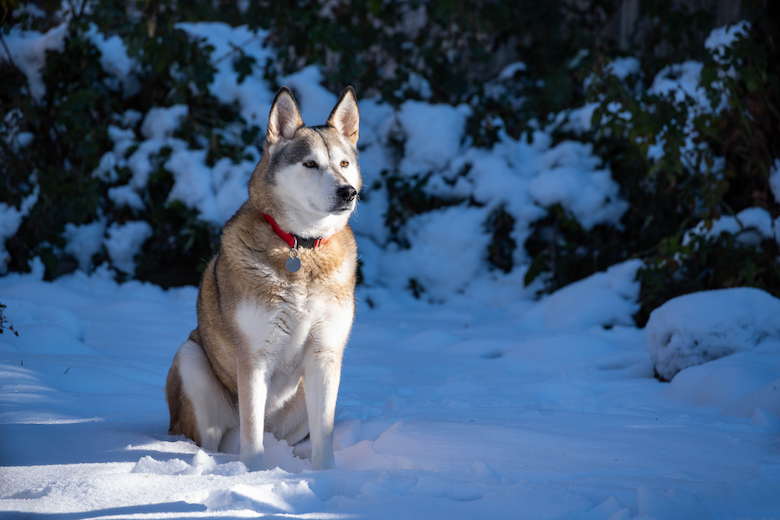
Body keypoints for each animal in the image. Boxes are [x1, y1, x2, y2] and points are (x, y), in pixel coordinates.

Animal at [166, 86, 362, 472]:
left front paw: (326, 477)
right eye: (310, 164)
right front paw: (254, 476)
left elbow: (325, 434)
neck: (301, 248)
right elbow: (251, 434)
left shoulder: (325, 354)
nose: (348, 191)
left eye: (344, 164)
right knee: (211, 438)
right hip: (190, 361)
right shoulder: (253, 357)